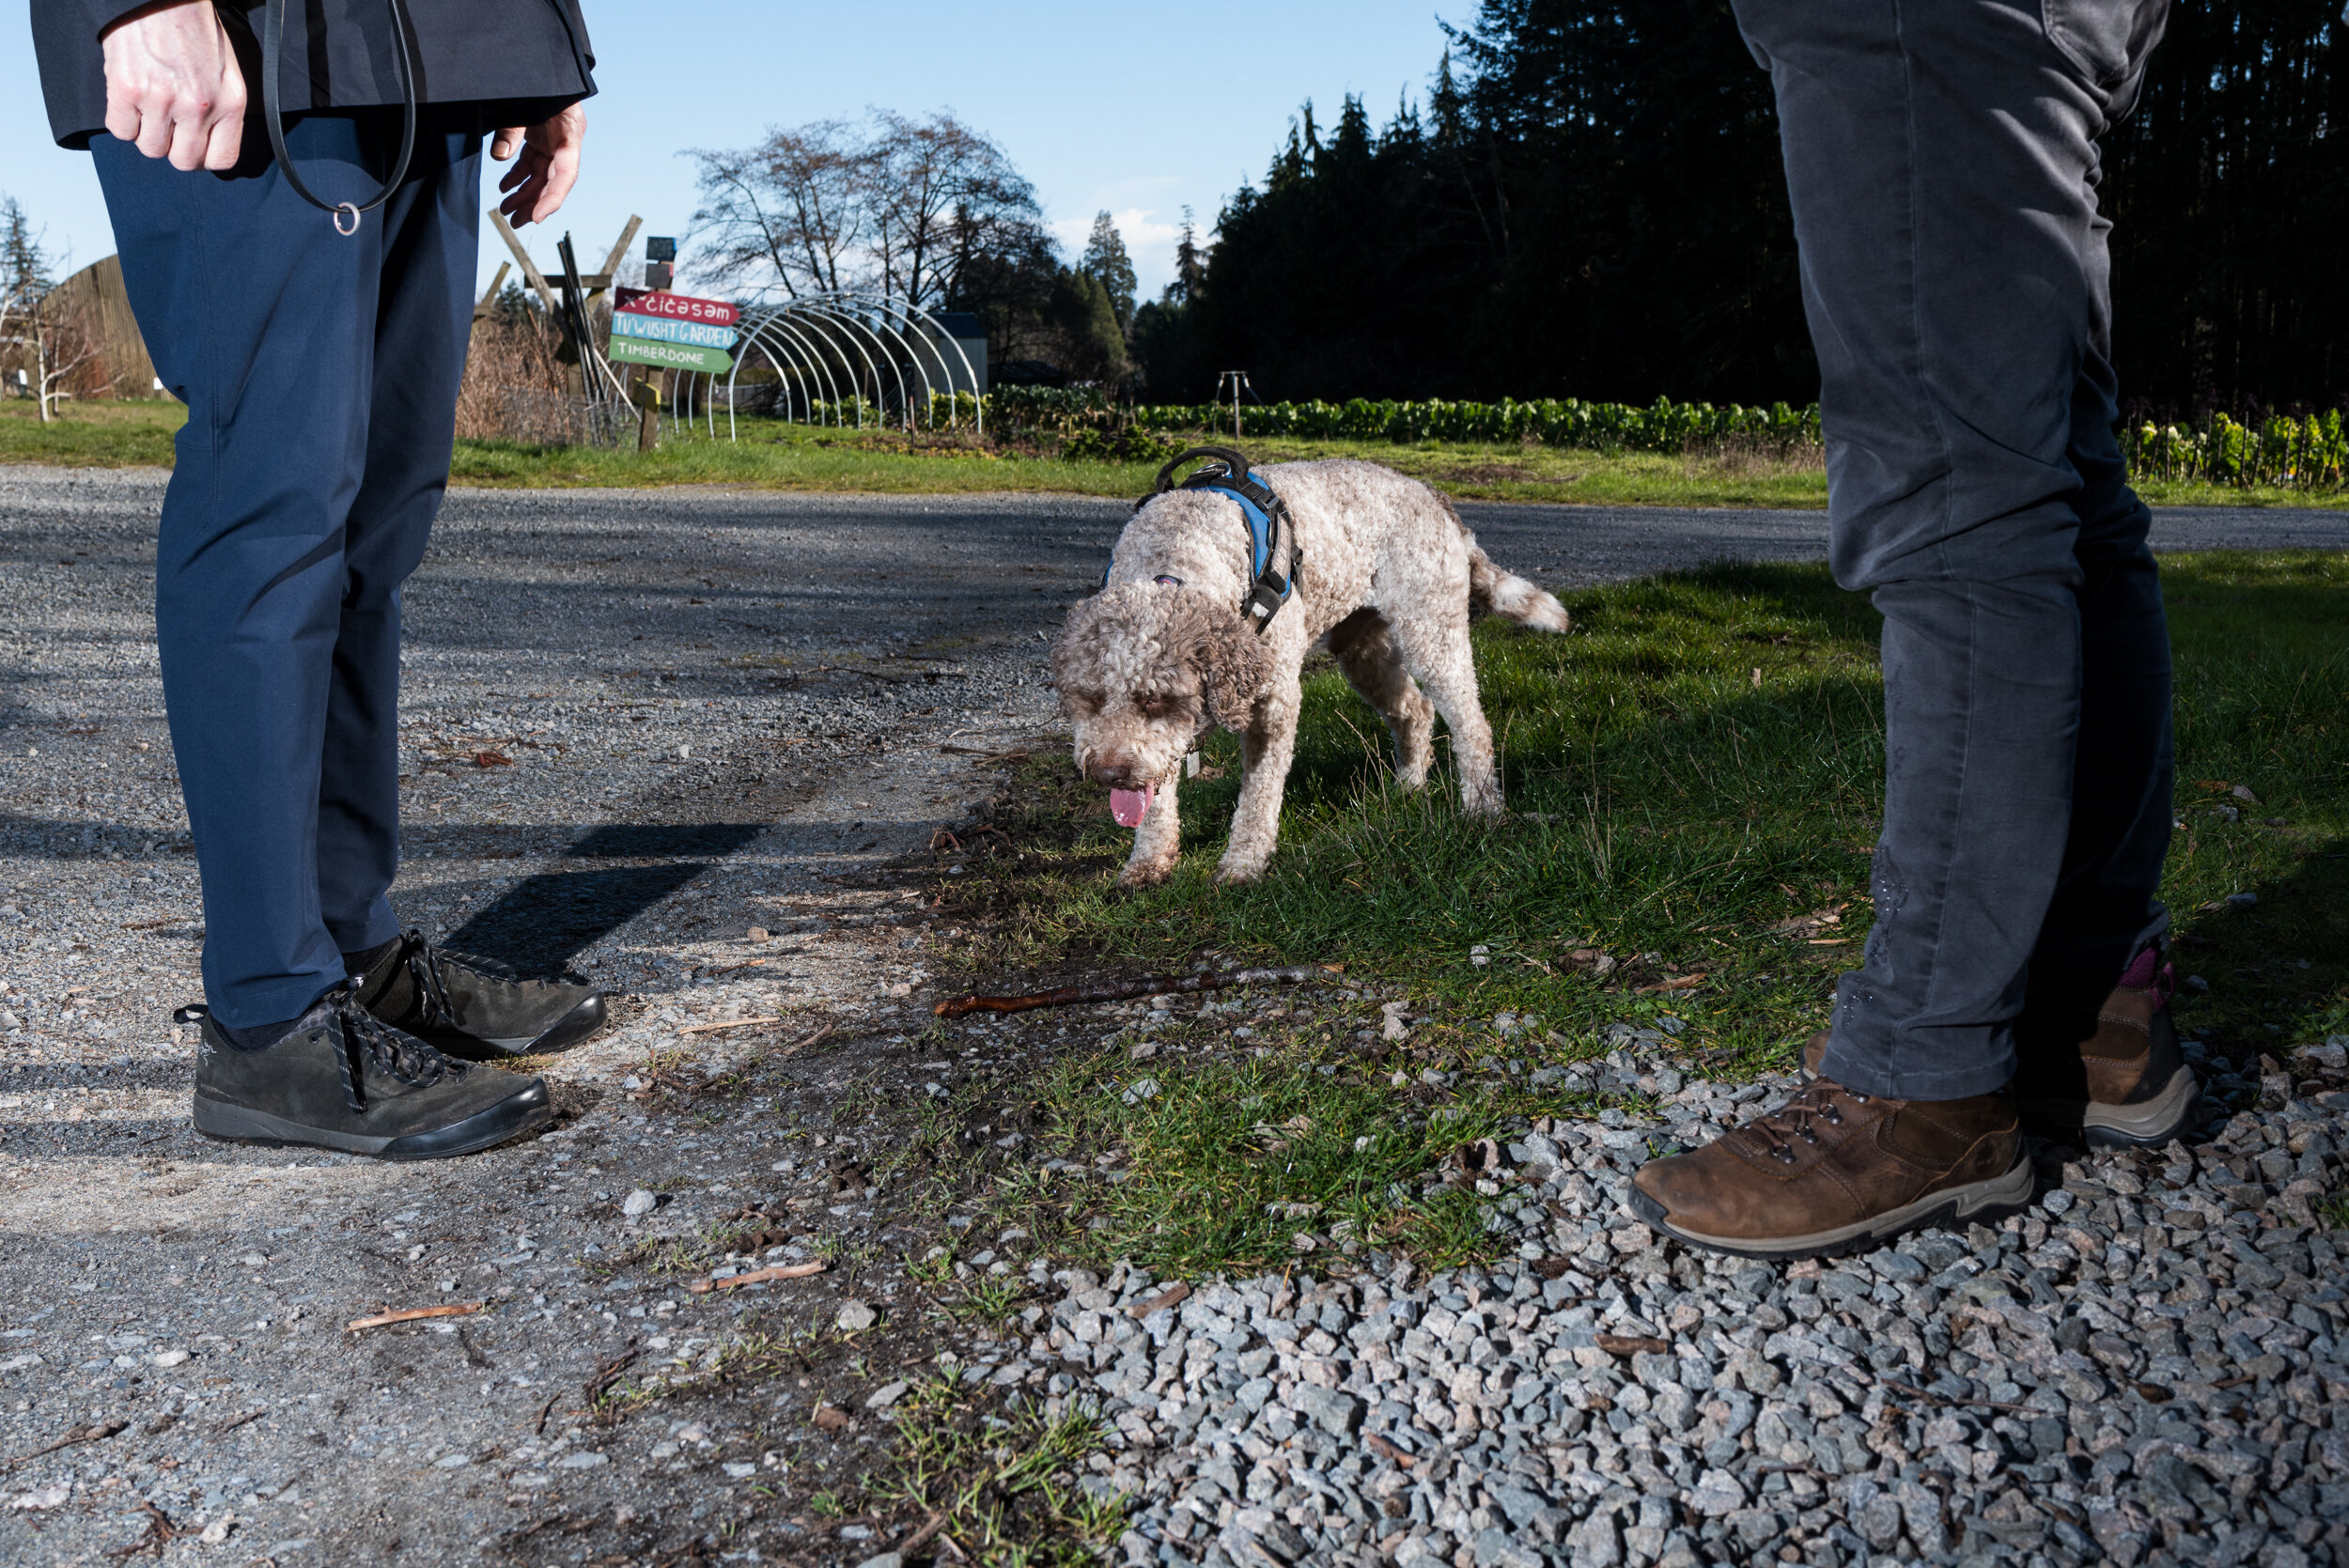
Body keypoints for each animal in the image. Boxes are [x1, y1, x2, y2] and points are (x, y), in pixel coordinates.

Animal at [1057, 459, 1569, 887]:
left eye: (1154, 699)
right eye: (1090, 699)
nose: (1107, 773)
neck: (1178, 551)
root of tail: (1429, 492)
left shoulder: (1274, 703)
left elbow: (1259, 797)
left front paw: (1243, 864)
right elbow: (1156, 799)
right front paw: (1147, 863)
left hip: (1431, 630)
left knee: (1471, 723)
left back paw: (1482, 808)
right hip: (1362, 649)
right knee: (1414, 710)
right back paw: (1409, 787)